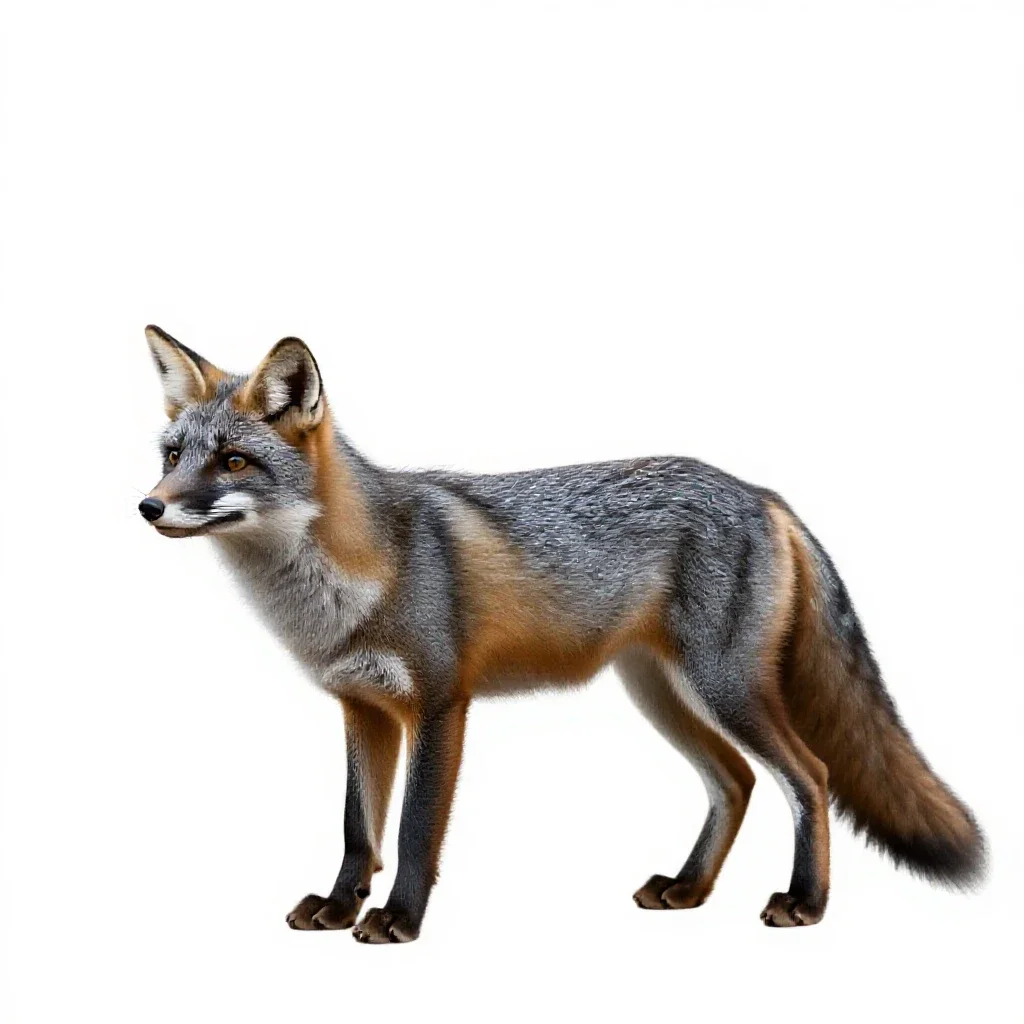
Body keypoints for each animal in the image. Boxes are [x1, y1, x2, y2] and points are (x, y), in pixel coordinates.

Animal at [139, 324, 985, 943]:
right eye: (173, 455)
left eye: (234, 461)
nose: (149, 506)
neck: (350, 583)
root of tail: (761, 491)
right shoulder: (362, 709)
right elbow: (358, 829)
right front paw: (340, 906)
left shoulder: (441, 704)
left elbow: (411, 831)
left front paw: (398, 919)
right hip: (662, 695)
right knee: (737, 782)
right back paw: (688, 888)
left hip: (725, 689)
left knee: (810, 777)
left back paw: (804, 902)